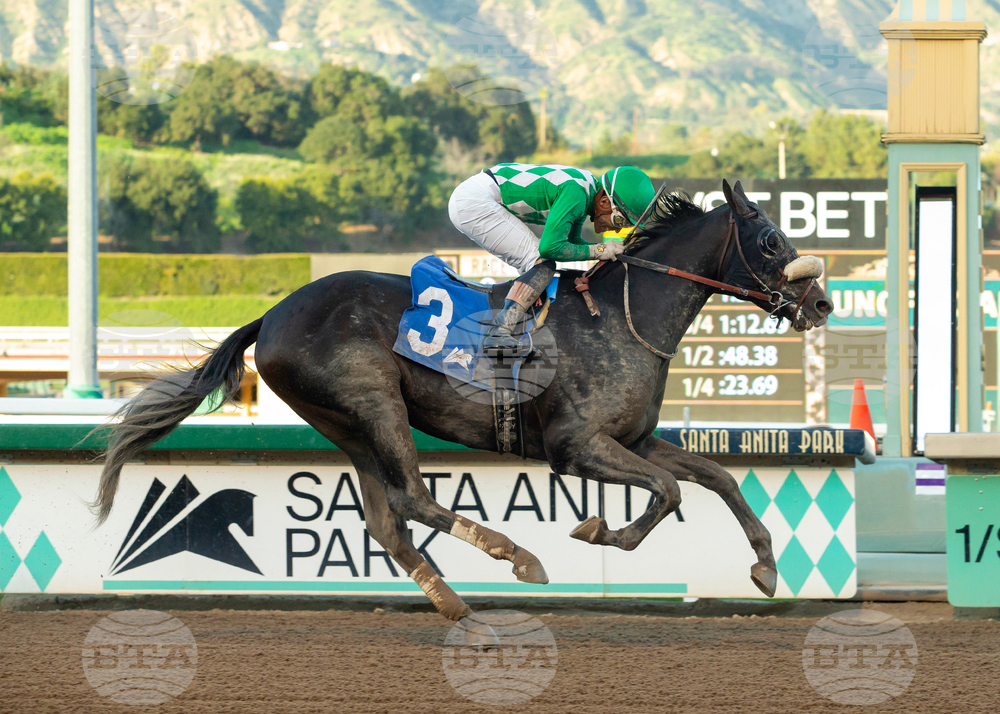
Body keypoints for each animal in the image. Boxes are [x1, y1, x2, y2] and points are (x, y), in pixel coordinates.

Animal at [92, 180, 831, 641]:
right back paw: (517, 558)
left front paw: (766, 566)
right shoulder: (576, 446)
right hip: (374, 402)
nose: (821, 303)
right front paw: (600, 531)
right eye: (771, 240)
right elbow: (668, 492)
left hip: (347, 426)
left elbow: (717, 477)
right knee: (414, 499)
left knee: (386, 521)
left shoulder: (636, 438)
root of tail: (271, 314)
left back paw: (463, 611)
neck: (625, 316)